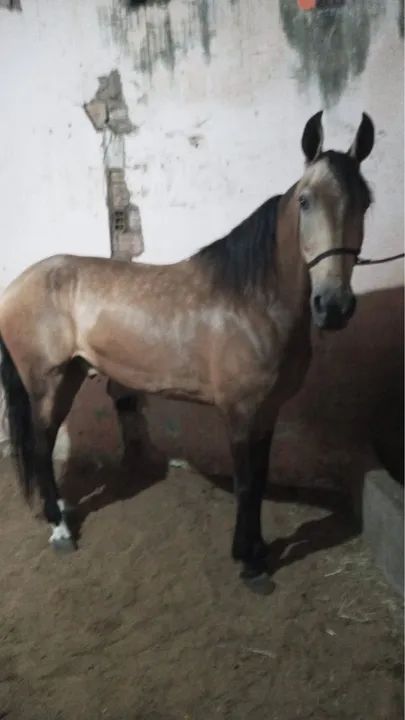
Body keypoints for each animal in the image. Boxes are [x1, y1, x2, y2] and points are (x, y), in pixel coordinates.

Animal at [0, 111, 374, 586]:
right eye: (306, 201)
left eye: (365, 202)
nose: (334, 306)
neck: (253, 300)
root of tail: (16, 286)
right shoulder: (239, 411)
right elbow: (246, 483)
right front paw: (249, 562)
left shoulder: (268, 410)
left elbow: (261, 478)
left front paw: (258, 549)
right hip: (45, 384)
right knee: (39, 446)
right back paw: (60, 529)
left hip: (68, 377)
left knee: (44, 446)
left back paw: (61, 514)